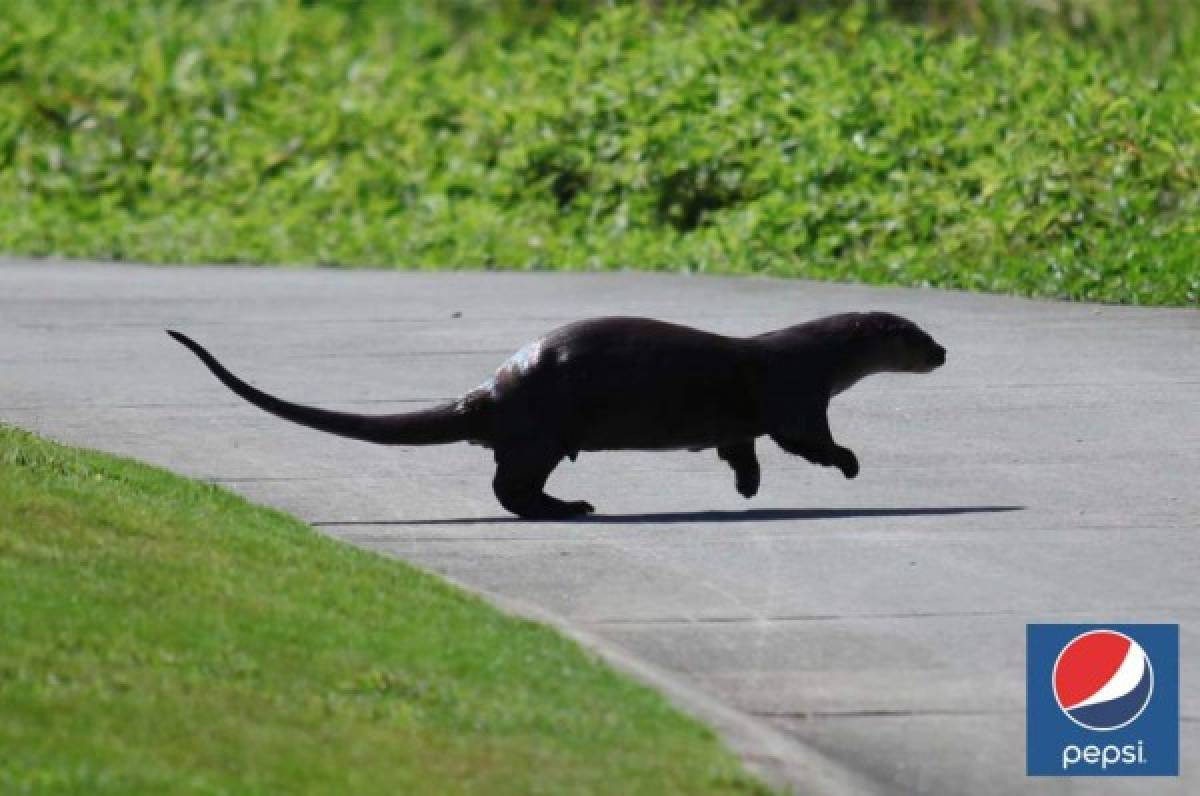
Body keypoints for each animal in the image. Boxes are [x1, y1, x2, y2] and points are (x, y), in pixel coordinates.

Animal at [169, 312, 945, 523]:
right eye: (913, 334)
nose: (943, 351)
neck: (813, 355)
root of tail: (494, 390)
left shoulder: (742, 423)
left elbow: (741, 448)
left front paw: (747, 489)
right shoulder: (796, 395)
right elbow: (805, 441)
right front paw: (850, 464)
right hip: (543, 431)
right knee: (509, 489)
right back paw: (573, 506)